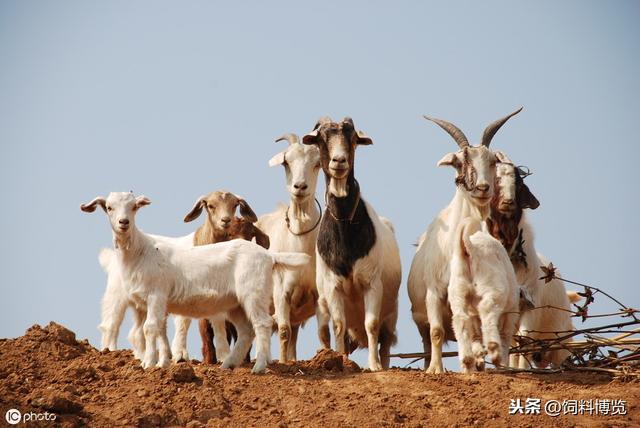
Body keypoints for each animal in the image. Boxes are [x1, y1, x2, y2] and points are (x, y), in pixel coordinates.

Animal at [81, 192, 308, 372]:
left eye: (134, 207)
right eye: (109, 208)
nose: (123, 223)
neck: (140, 250)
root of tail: (269, 256)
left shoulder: (156, 295)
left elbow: (150, 328)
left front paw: (148, 364)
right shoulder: (153, 302)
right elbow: (159, 330)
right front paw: (163, 362)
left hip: (254, 293)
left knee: (262, 324)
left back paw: (258, 366)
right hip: (235, 303)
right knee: (246, 330)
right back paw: (229, 364)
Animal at [255, 133, 322, 362]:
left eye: (317, 163)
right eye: (286, 162)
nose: (299, 187)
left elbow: (324, 333)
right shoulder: (280, 292)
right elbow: (284, 331)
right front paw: (284, 363)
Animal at [302, 117, 400, 372]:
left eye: (353, 138)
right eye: (321, 139)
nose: (339, 161)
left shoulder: (371, 283)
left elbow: (371, 323)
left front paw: (374, 366)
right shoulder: (333, 287)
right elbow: (338, 324)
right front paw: (342, 361)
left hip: (391, 314)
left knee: (385, 341)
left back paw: (382, 362)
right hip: (322, 308)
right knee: (329, 333)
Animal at [408, 108, 524, 372]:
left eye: (492, 161)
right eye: (460, 162)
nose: (482, 188)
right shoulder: (434, 292)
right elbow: (437, 332)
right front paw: (435, 370)